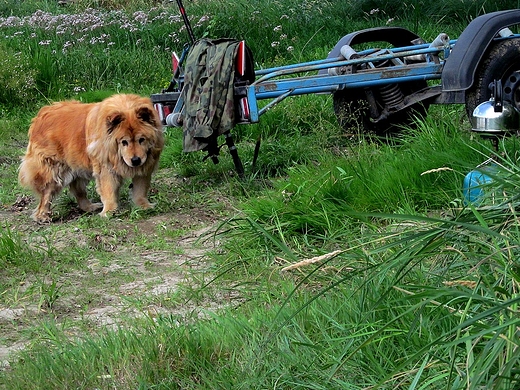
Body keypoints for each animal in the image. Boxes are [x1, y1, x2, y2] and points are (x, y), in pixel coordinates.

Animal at [18, 93, 165, 224]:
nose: (135, 160)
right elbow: (109, 190)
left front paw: (143, 206)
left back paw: (90, 207)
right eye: (124, 142)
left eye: (141, 140)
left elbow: (140, 190)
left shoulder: (144, 168)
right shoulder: (106, 169)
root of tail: (40, 115)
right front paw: (109, 211)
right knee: (46, 196)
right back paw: (42, 217)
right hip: (54, 172)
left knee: (79, 192)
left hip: (78, 169)